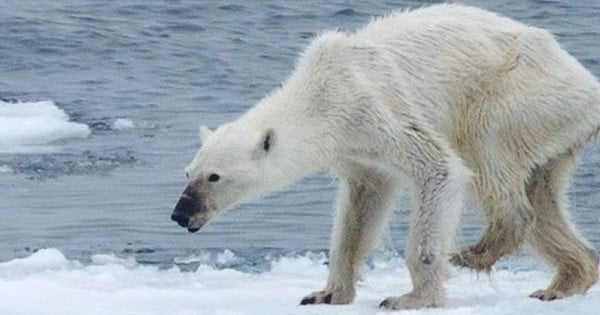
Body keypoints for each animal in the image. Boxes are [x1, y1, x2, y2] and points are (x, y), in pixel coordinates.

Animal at [170, 3, 600, 312]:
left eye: (214, 177)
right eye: (188, 172)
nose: (179, 214)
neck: (320, 94)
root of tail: (586, 84)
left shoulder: (373, 108)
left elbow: (439, 167)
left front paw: (410, 298)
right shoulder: (355, 151)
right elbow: (359, 208)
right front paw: (326, 293)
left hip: (519, 94)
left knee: (487, 149)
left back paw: (475, 252)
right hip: (553, 127)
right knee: (543, 197)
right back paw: (564, 280)